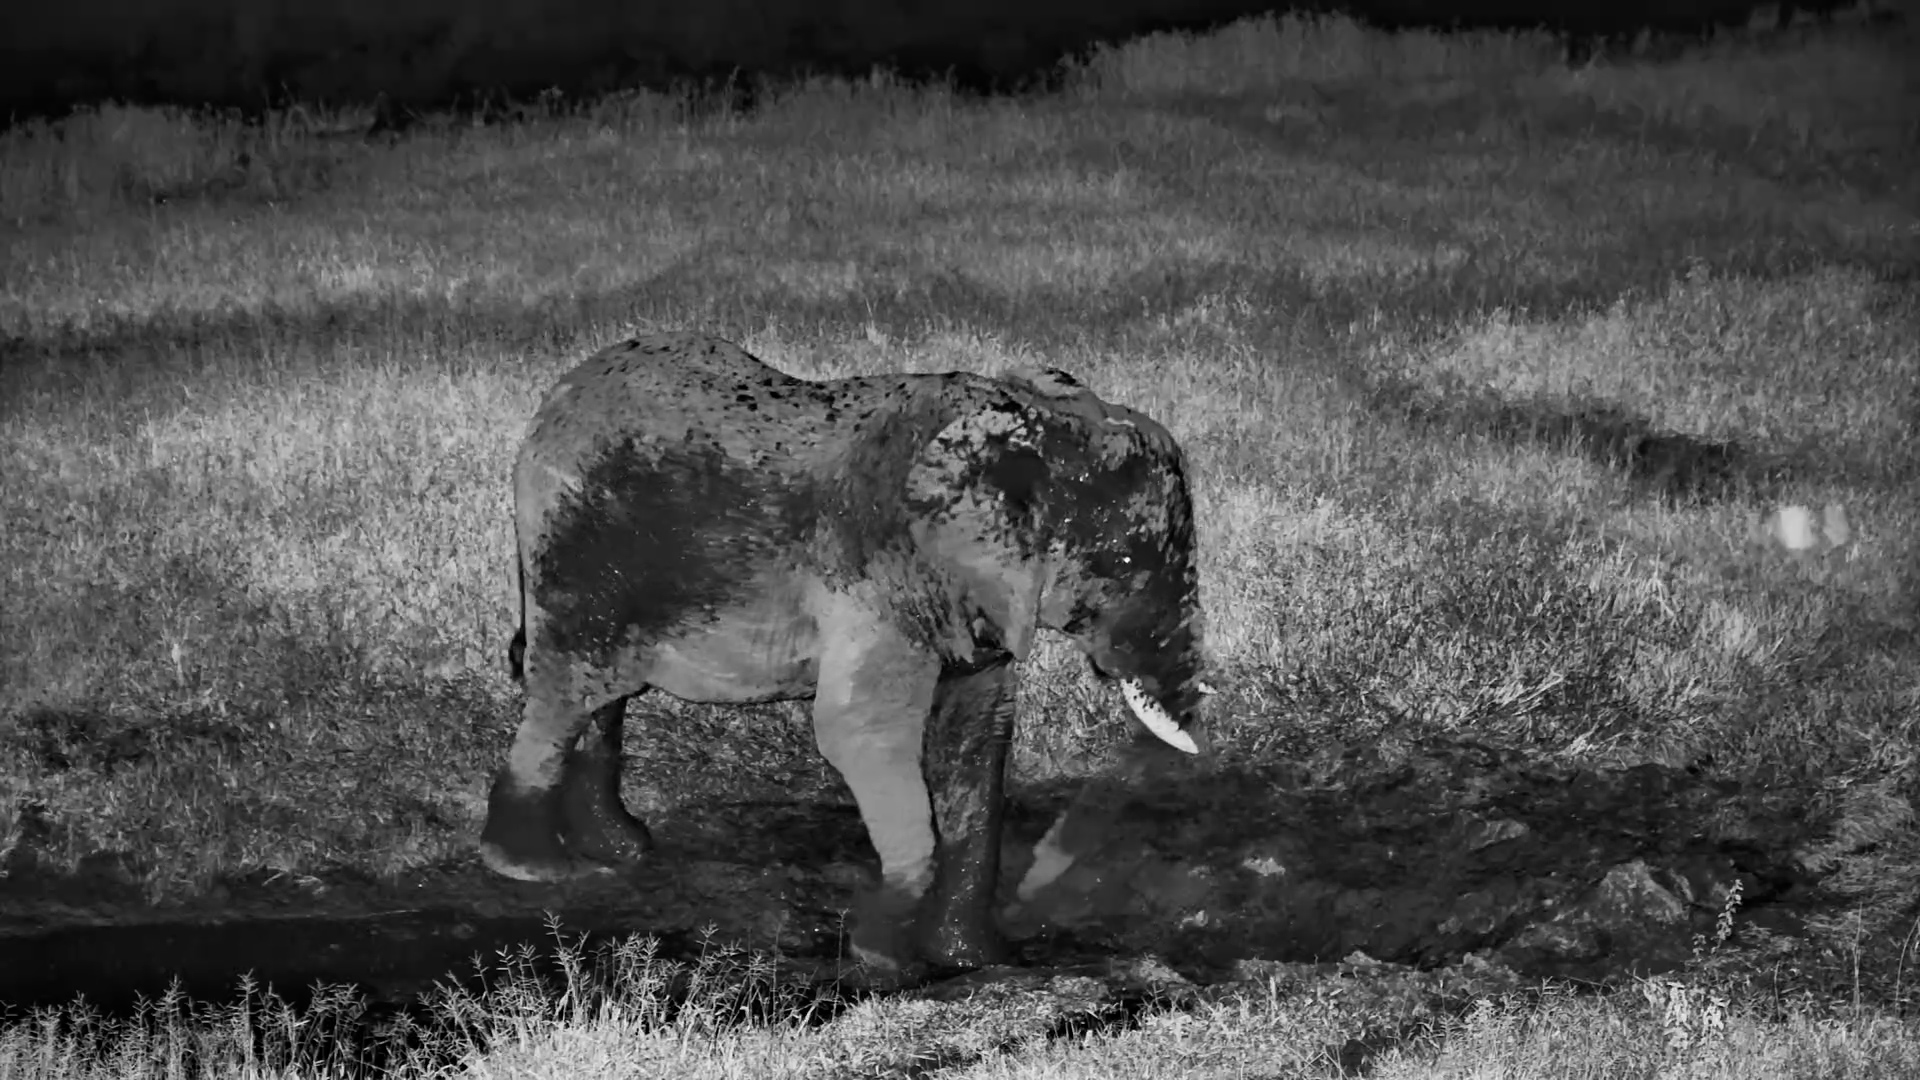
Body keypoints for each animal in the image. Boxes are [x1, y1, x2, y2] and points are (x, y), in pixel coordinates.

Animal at [480, 331, 1207, 978]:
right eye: (1124, 564)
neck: (1027, 425)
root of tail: (555, 399)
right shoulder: (879, 576)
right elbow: (859, 730)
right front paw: (887, 959)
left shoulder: (977, 598)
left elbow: (975, 742)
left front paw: (977, 961)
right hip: (574, 539)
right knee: (568, 687)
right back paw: (533, 868)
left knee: (605, 696)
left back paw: (623, 849)